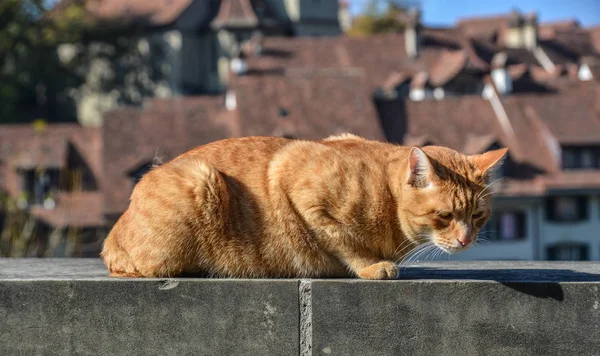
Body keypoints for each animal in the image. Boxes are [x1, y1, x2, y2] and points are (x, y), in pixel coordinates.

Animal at [102, 135, 506, 280]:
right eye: (445, 216)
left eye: (478, 216)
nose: (466, 240)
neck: (387, 199)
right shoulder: (296, 178)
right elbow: (347, 243)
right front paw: (371, 266)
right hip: (201, 179)